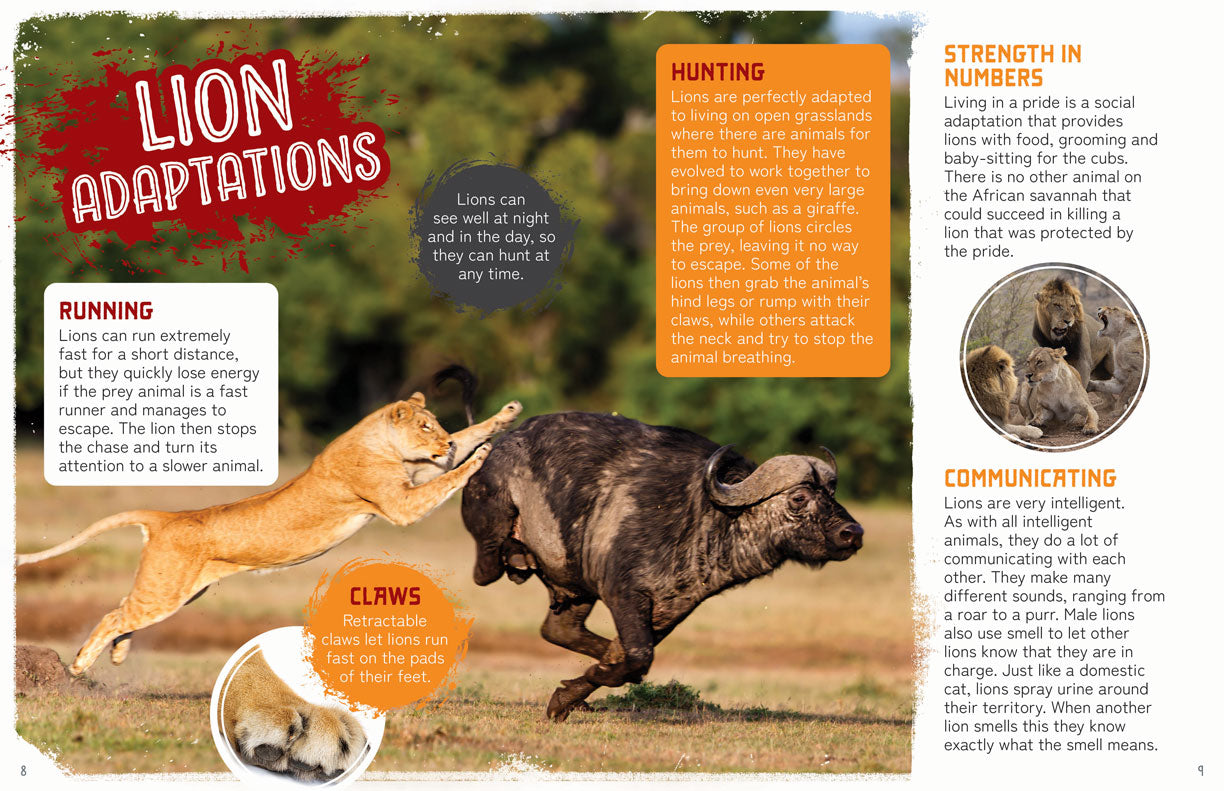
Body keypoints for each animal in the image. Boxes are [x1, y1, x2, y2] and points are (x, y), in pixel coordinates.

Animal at [17, 374, 522, 676]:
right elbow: (457, 471)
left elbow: (469, 435)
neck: (378, 440)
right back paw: (80, 664)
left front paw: (506, 415)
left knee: (123, 607)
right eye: (424, 426)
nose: (440, 443)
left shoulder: (413, 481)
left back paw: (119, 652)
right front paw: (480, 455)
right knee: (113, 614)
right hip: (164, 592)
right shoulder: (401, 504)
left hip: (174, 589)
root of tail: (167, 515)